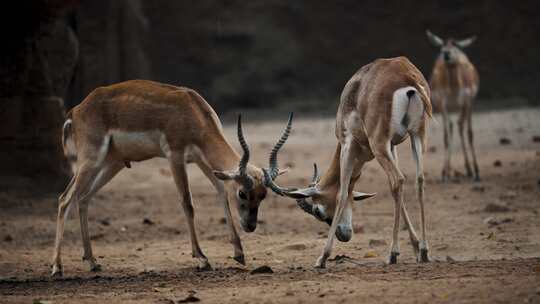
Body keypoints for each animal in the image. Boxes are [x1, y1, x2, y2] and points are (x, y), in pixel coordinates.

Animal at [52, 79, 294, 276]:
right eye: (243, 193)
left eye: (263, 195)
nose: (250, 225)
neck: (192, 110)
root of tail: (77, 110)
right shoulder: (175, 156)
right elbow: (187, 203)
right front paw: (202, 259)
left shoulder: (202, 160)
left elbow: (221, 194)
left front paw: (239, 253)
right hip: (90, 160)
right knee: (65, 198)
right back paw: (57, 267)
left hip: (113, 163)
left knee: (83, 198)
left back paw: (92, 262)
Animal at [264, 57, 432, 268]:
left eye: (317, 211)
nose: (343, 235)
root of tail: (406, 76)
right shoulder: (392, 146)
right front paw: (416, 247)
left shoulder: (347, 144)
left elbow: (342, 192)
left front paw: (322, 257)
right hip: (417, 135)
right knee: (418, 180)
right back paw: (424, 251)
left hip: (380, 143)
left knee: (398, 180)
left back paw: (392, 254)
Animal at [426, 29, 480, 182]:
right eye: (441, 46)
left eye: (456, 46)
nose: (446, 54)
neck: (455, 88)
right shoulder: (443, 105)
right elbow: (446, 136)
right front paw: (444, 173)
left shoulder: (468, 103)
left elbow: (470, 133)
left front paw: (477, 172)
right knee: (453, 127)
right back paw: (451, 171)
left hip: (463, 108)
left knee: (461, 126)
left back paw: (469, 170)